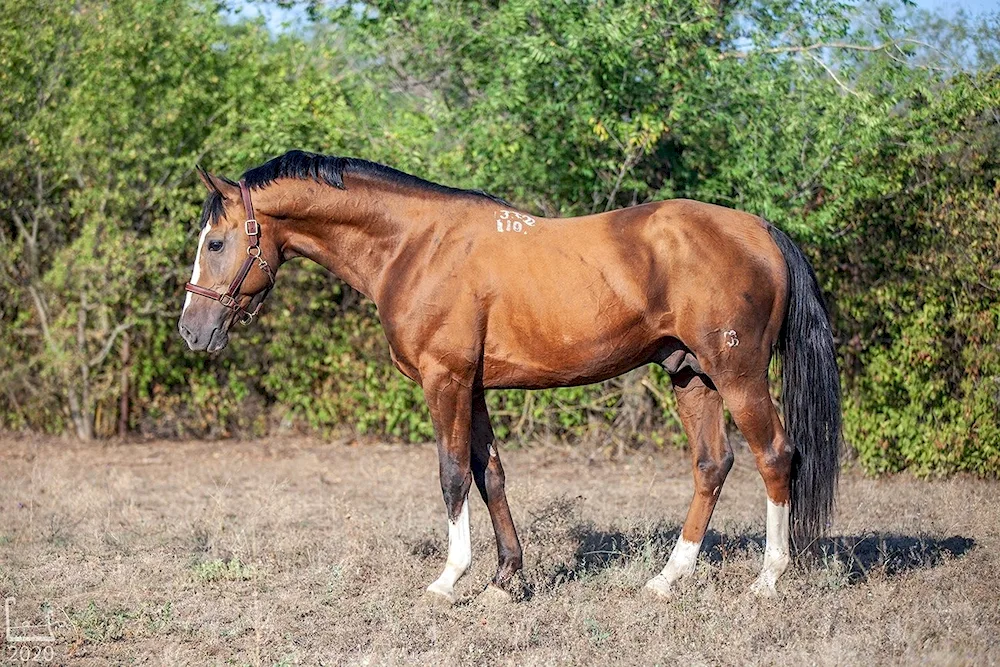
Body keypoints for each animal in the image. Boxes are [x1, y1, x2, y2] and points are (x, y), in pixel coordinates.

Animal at [176, 153, 840, 604]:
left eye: (215, 243)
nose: (191, 329)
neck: (415, 245)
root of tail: (760, 231)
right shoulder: (472, 387)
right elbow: (488, 474)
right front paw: (506, 579)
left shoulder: (444, 380)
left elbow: (450, 476)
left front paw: (449, 579)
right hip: (690, 376)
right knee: (712, 464)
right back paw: (667, 579)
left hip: (737, 374)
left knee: (776, 456)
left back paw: (768, 578)